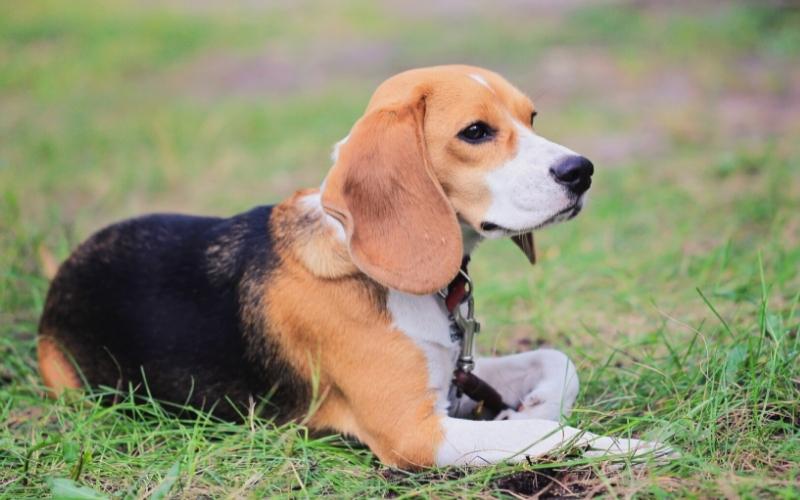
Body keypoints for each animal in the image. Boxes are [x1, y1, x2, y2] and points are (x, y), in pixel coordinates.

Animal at [42, 65, 668, 468]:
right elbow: (548, 436)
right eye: (475, 132)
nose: (581, 170)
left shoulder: (451, 372)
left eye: (531, 116)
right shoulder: (414, 432)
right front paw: (634, 446)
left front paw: (528, 409)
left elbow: (556, 361)